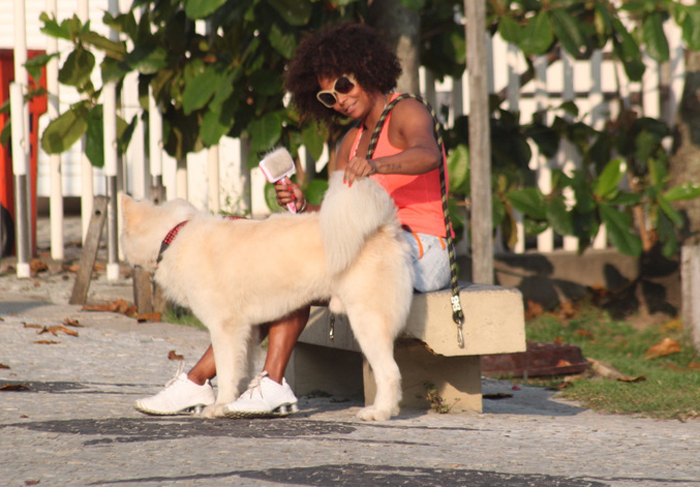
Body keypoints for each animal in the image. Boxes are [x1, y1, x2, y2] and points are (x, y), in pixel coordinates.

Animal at [121, 172, 416, 420]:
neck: (175, 234)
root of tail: (384, 227)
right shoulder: (247, 330)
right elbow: (241, 371)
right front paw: (235, 402)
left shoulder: (225, 328)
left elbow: (226, 371)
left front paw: (219, 406)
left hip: (367, 321)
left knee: (390, 373)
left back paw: (379, 412)